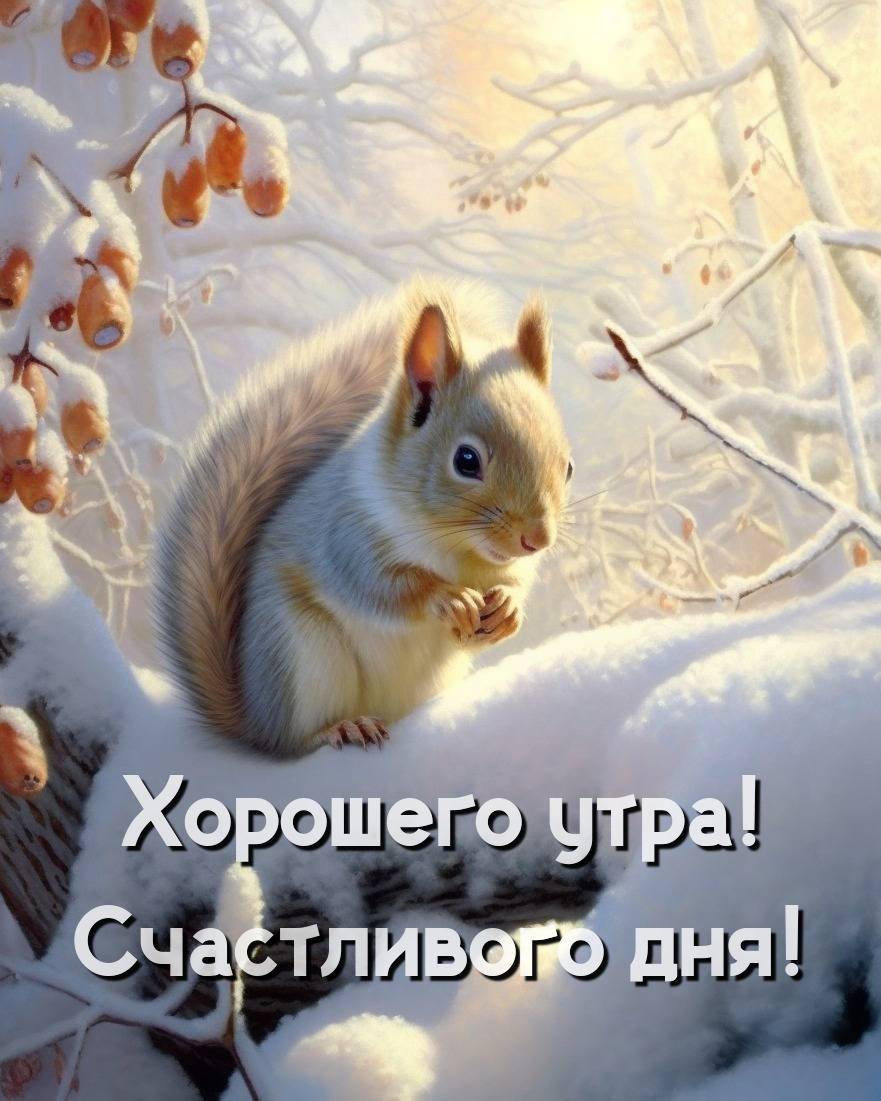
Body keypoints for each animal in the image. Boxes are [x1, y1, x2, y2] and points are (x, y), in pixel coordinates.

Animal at [155, 277, 573, 757]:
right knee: (298, 741)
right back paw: (342, 728)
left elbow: (514, 584)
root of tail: (256, 721)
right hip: (303, 656)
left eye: (568, 467)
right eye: (466, 461)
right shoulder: (344, 531)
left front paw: (506, 609)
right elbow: (379, 585)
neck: (457, 549)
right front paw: (447, 599)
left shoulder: (511, 567)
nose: (537, 539)